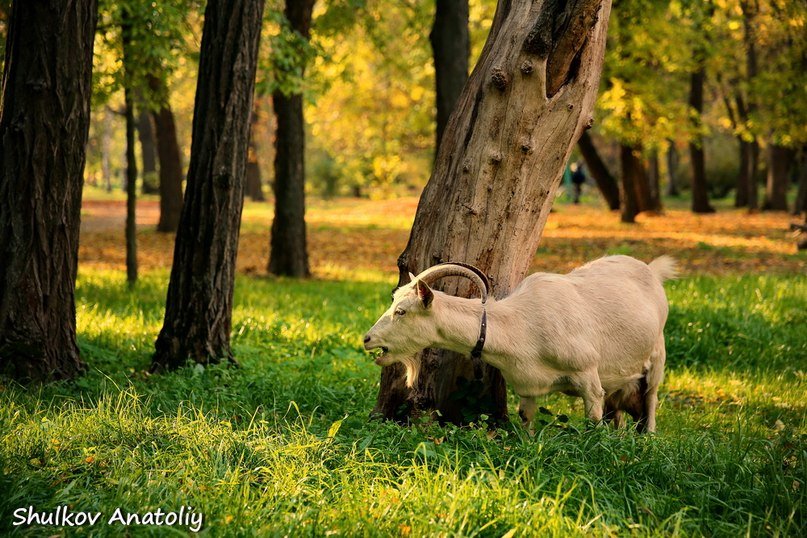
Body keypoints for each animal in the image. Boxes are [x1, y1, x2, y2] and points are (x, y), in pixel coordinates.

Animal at [362, 254, 680, 432]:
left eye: (402, 311)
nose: (367, 339)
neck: (521, 325)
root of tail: (653, 271)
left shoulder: (588, 375)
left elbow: (592, 419)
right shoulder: (528, 387)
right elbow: (526, 419)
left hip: (657, 357)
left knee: (651, 399)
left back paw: (647, 438)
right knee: (619, 412)